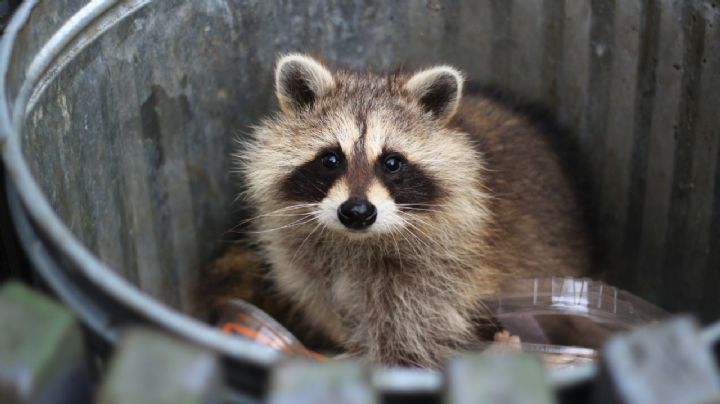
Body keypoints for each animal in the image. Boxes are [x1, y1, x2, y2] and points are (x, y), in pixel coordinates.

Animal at [229, 53, 592, 366]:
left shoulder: (439, 272)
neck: (356, 242)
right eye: (330, 159)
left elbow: (410, 335)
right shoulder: (305, 263)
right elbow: (325, 303)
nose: (357, 212)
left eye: (392, 162)